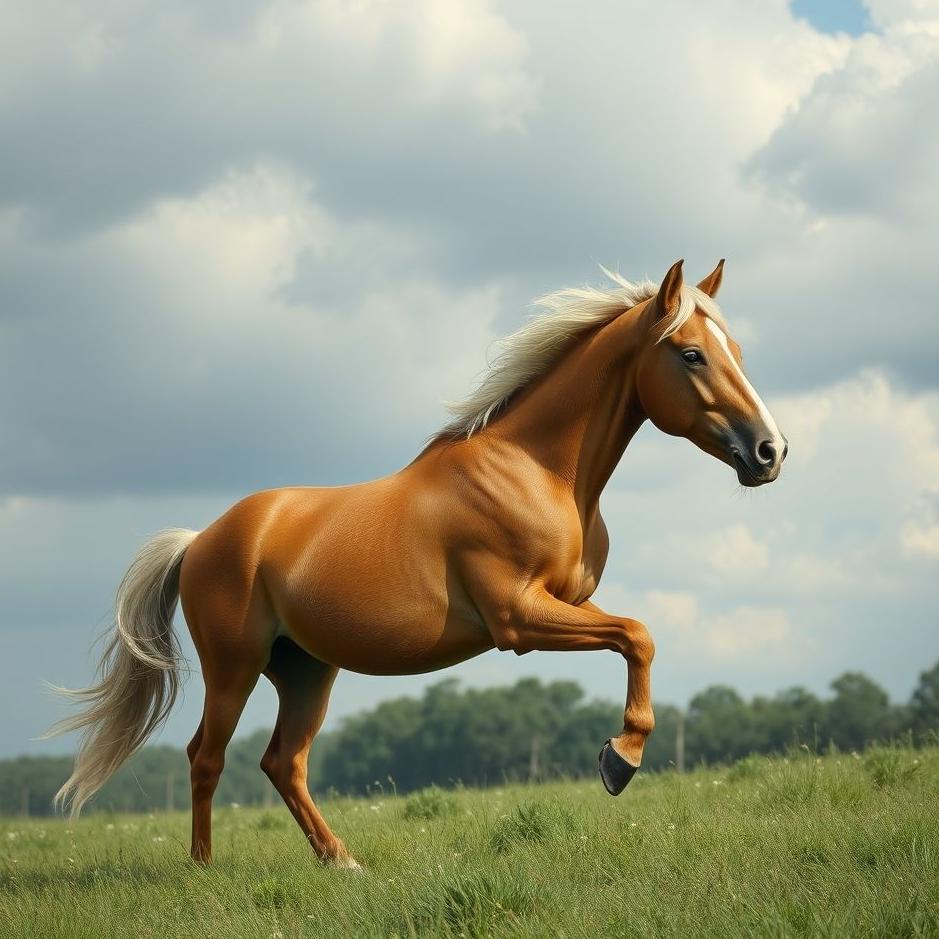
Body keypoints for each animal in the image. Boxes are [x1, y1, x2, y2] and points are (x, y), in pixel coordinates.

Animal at [47, 258, 786, 866]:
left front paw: (619, 755)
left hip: (306, 670)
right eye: (691, 354)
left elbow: (637, 638)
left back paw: (341, 860)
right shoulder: (518, 619)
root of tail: (200, 538)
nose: (769, 450)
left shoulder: (568, 604)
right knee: (207, 756)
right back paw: (204, 868)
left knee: (283, 762)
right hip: (235, 667)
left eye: (736, 350)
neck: (534, 470)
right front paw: (620, 760)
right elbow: (638, 634)